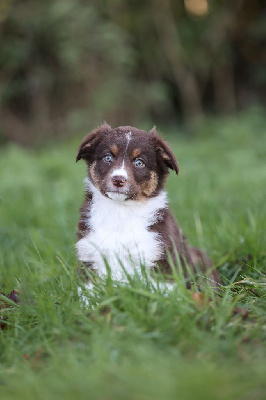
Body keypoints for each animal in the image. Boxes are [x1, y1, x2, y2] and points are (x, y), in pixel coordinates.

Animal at [75, 123, 220, 290]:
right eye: (108, 157)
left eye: (139, 162)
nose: (118, 180)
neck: (121, 211)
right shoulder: (89, 256)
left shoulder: (160, 258)